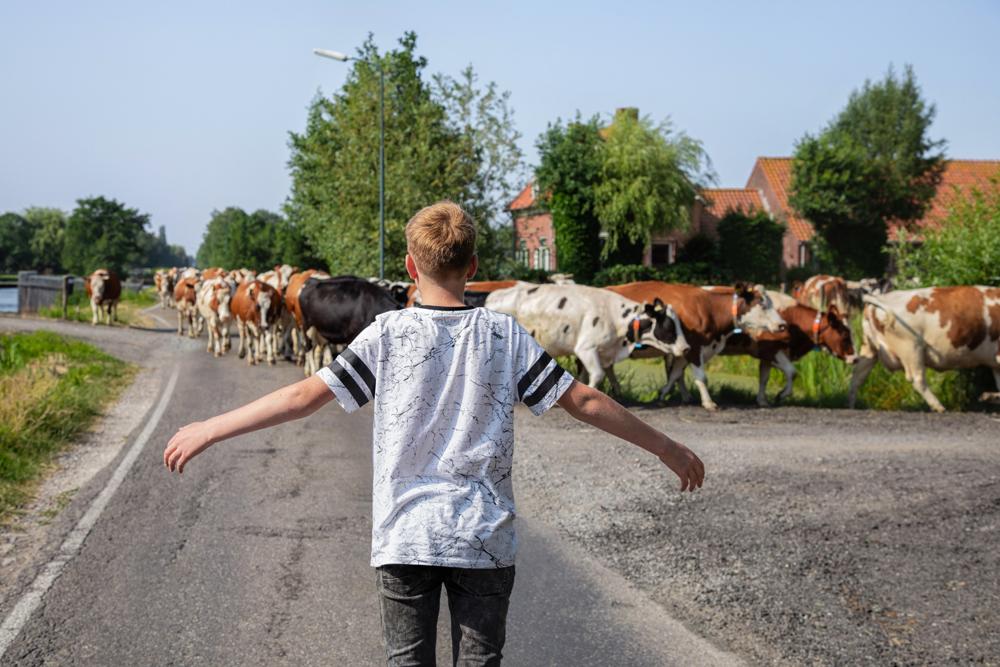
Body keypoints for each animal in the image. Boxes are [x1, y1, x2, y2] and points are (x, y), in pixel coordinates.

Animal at [600, 280, 788, 410]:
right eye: (762, 304)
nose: (782, 325)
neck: (708, 308)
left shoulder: (685, 349)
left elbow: (675, 374)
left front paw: (663, 394)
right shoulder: (695, 348)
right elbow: (700, 377)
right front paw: (709, 402)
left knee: (607, 368)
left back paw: (617, 391)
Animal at [724, 292, 856, 408]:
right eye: (845, 335)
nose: (855, 358)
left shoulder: (766, 357)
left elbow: (764, 378)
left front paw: (762, 401)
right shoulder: (772, 351)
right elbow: (792, 372)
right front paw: (781, 395)